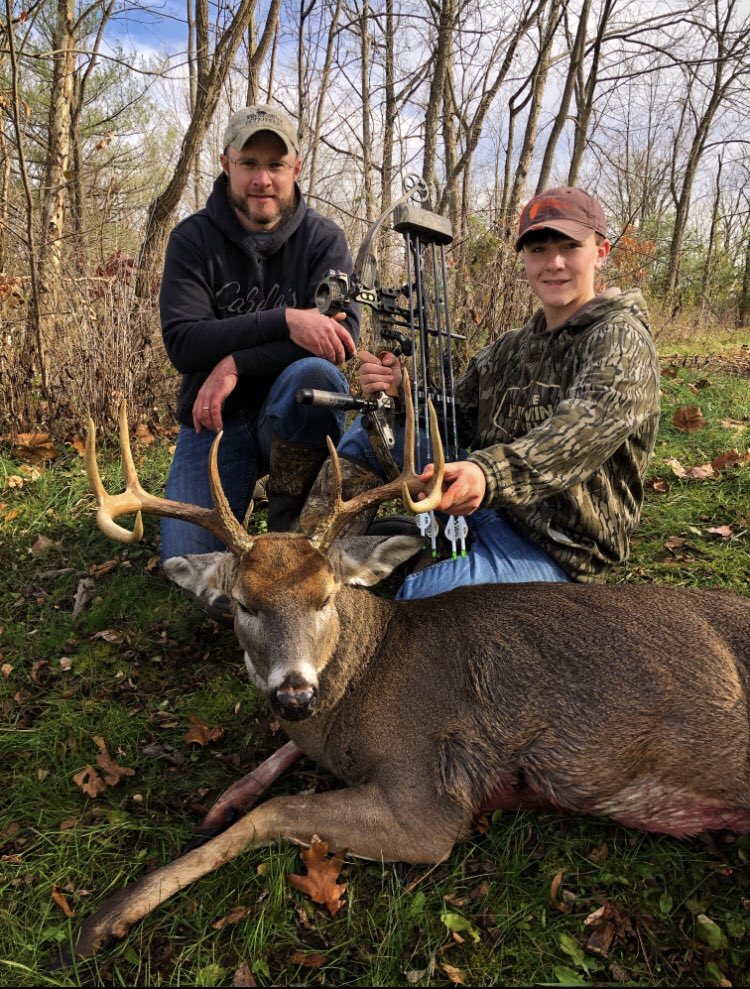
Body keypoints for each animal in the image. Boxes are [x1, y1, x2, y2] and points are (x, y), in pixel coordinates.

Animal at [72, 380, 750, 959]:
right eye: (242, 603)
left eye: (326, 597)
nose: (295, 696)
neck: (368, 676)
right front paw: (219, 804)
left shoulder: (426, 799)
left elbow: (272, 813)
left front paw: (105, 920)